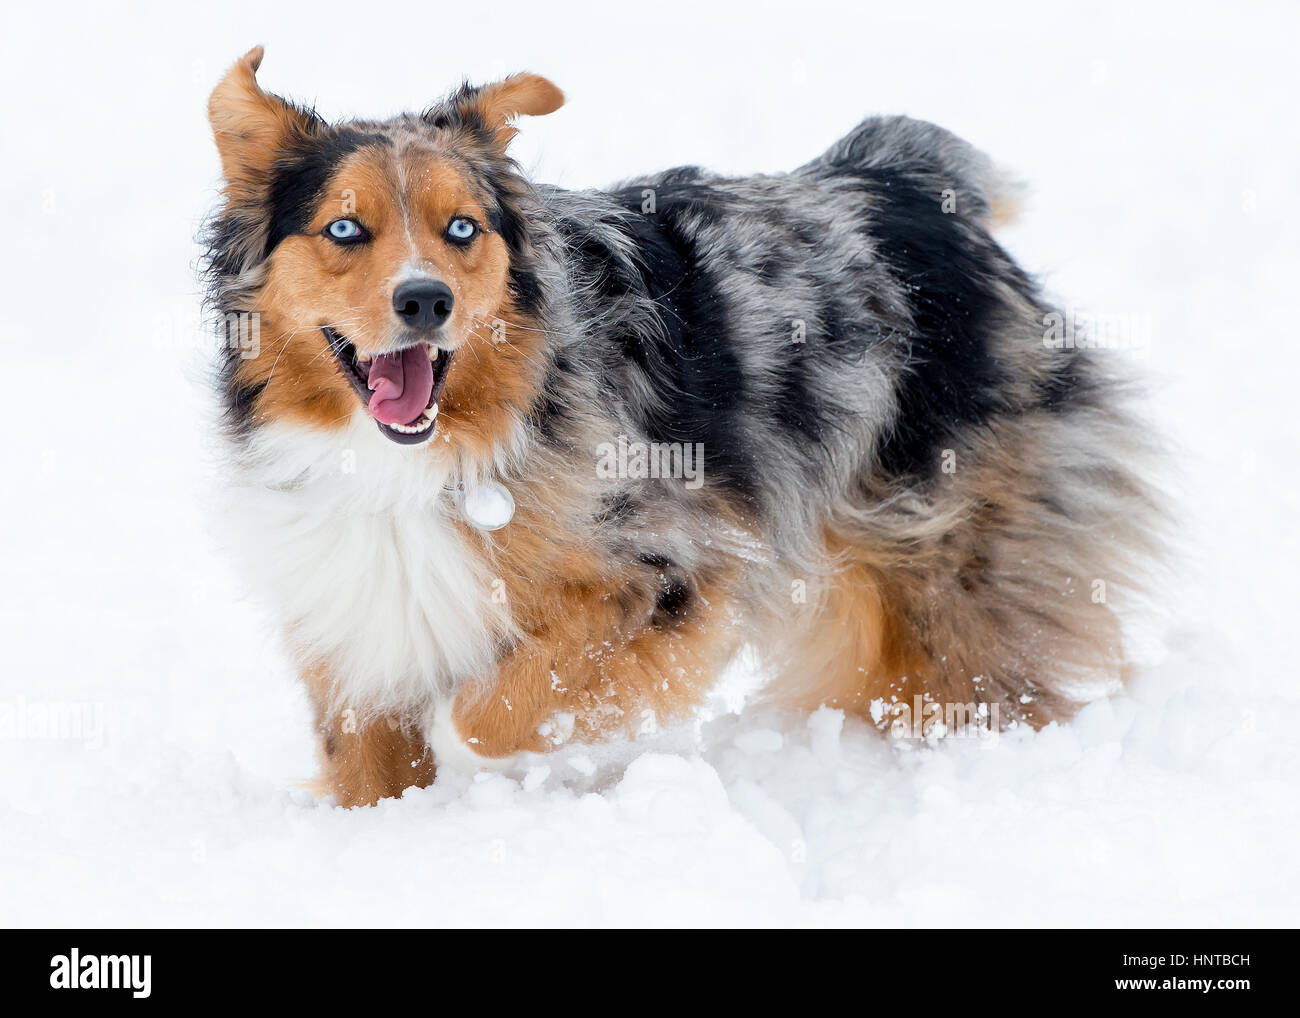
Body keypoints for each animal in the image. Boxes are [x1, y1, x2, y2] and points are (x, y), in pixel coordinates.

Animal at [200, 47, 1159, 806]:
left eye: (462, 228)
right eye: (345, 228)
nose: (425, 300)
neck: (414, 460)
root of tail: (900, 182)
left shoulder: (679, 561)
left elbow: (489, 712)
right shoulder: (354, 616)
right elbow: (368, 766)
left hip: (957, 566)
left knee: (988, 676)